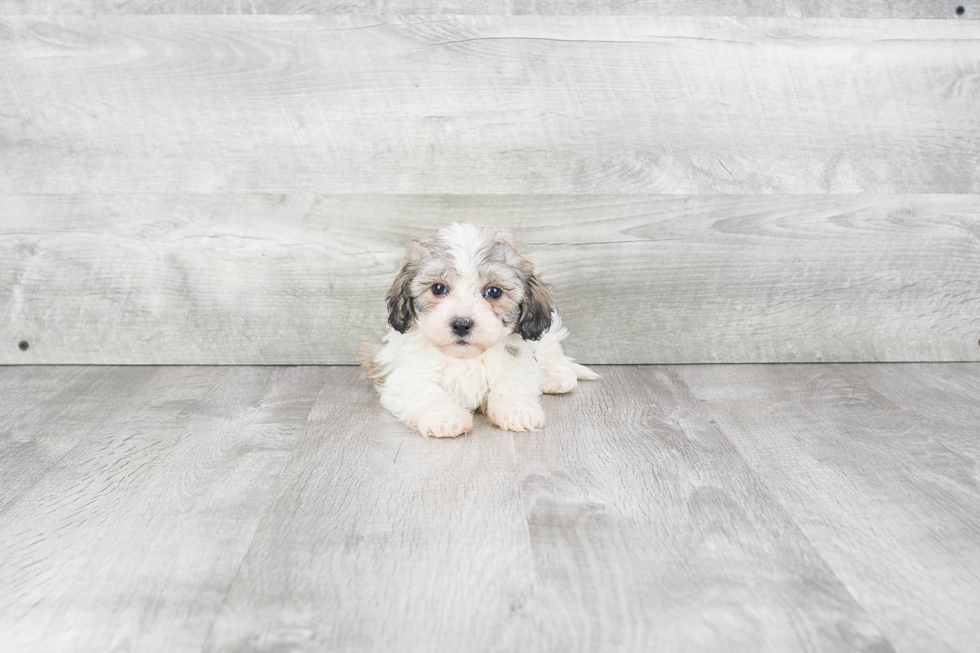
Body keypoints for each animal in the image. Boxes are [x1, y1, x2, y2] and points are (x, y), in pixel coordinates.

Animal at [356, 223, 592, 438]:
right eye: (438, 288)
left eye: (494, 292)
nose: (461, 323)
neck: (466, 357)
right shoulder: (404, 376)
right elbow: (428, 392)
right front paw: (445, 417)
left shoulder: (517, 365)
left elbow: (511, 384)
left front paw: (518, 410)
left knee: (551, 349)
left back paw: (556, 377)